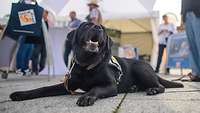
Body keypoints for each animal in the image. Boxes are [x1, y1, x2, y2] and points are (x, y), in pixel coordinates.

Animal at [10, 22, 184, 106]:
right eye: (86, 25)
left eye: (103, 29)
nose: (98, 27)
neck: (86, 64)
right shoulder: (68, 85)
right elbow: (43, 88)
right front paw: (21, 94)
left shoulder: (110, 86)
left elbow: (96, 88)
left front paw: (87, 96)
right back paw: (134, 88)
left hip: (141, 70)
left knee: (160, 86)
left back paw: (153, 89)